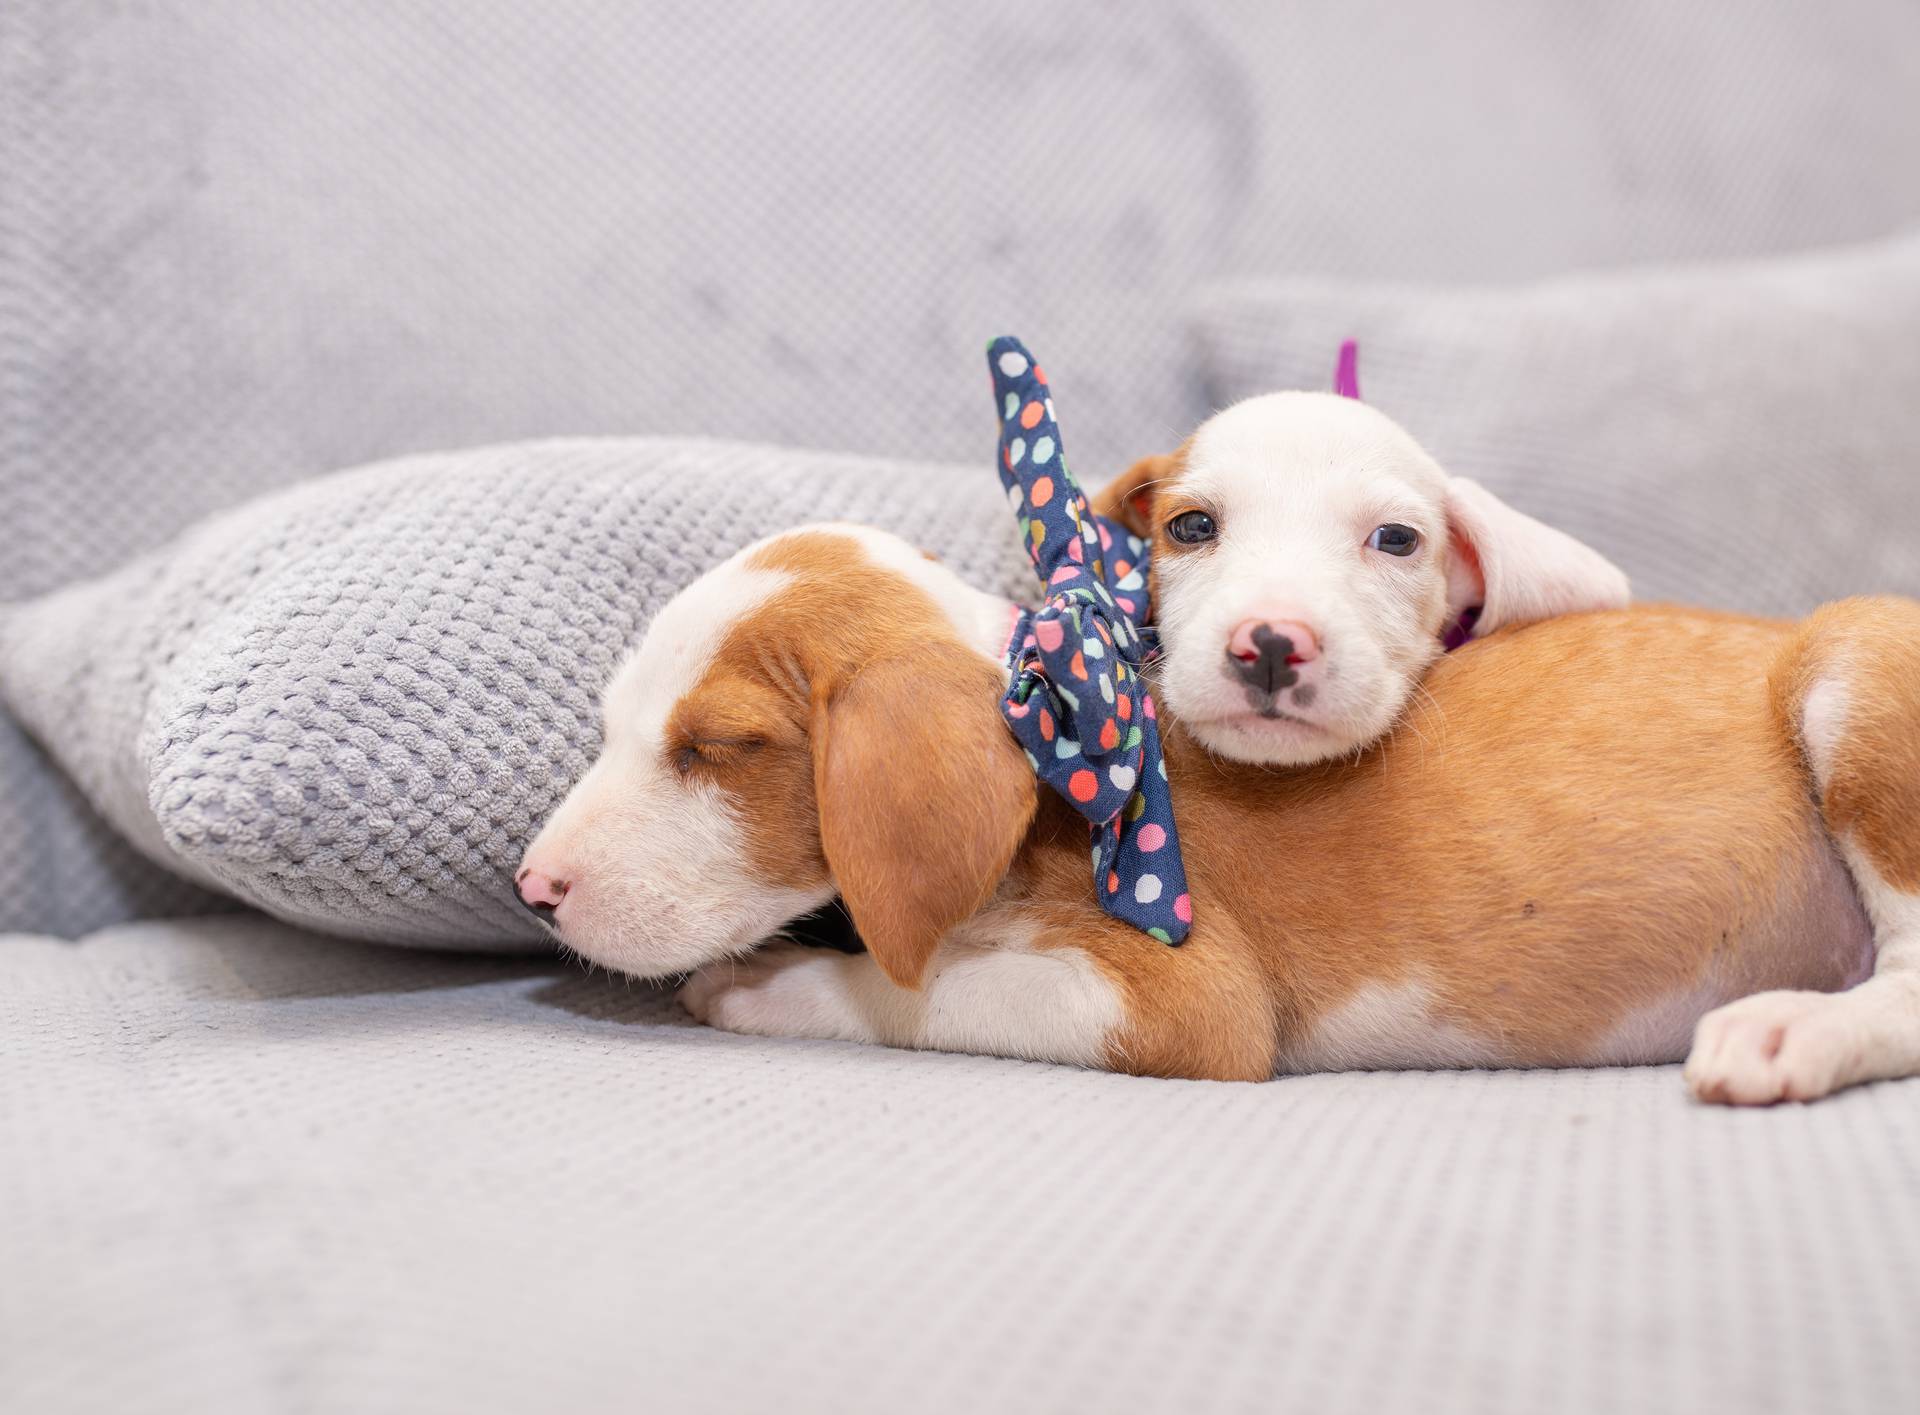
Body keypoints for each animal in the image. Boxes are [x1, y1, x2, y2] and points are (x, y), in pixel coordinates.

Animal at [518, 518, 1920, 1105]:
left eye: (716, 747)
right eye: (618, 722)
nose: (535, 891)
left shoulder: (1176, 1000)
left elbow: (927, 988)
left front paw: (772, 986)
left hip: (1856, 668)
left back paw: (1796, 1030)